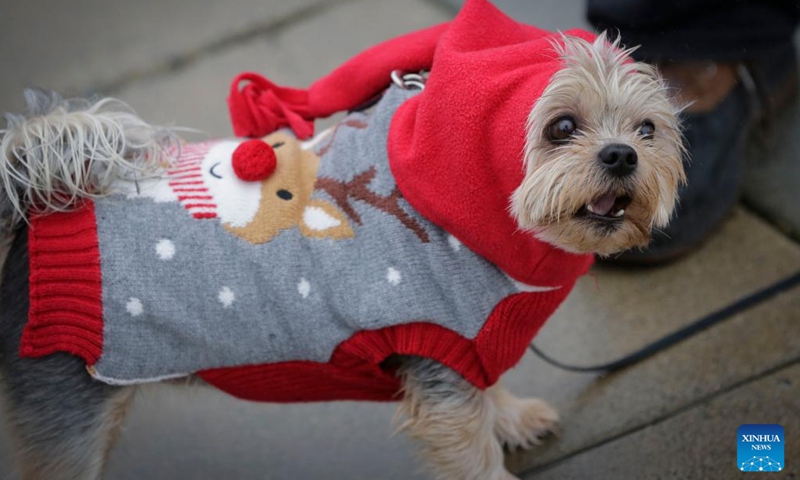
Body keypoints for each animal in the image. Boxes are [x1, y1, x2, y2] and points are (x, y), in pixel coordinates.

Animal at [0, 1, 684, 478]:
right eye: (560, 126)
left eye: (648, 130)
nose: (622, 154)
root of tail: (35, 215)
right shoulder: (438, 362)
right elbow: (473, 450)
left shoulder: (464, 350)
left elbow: (489, 392)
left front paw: (512, 417)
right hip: (68, 416)